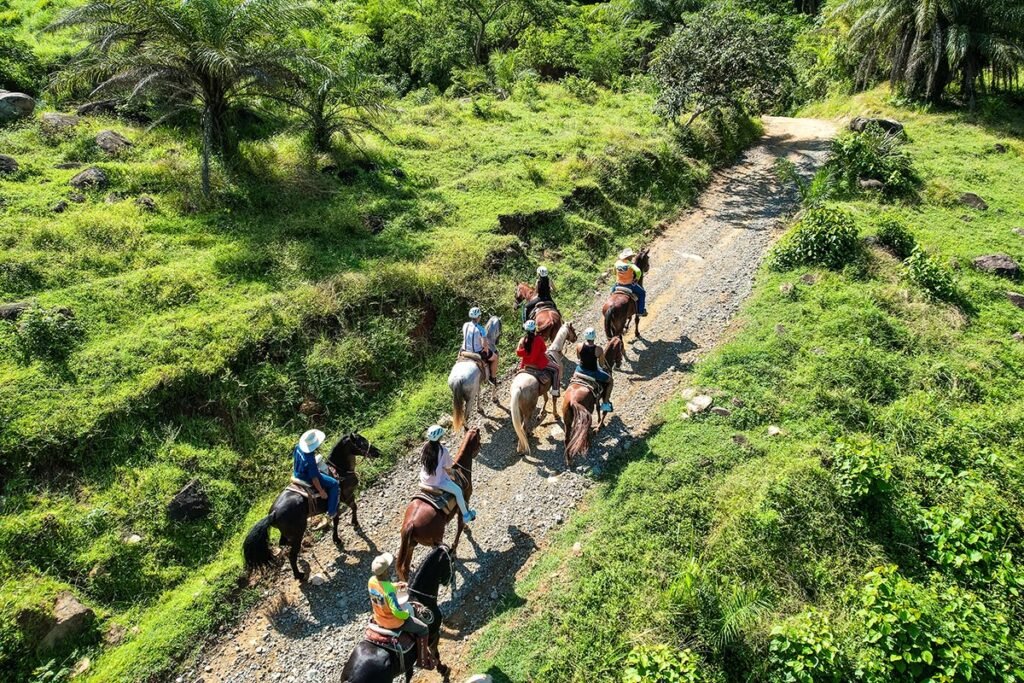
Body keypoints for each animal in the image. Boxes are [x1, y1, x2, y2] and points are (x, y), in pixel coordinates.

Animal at [242, 436, 380, 581]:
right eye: (361, 442)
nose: (377, 452)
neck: (339, 471)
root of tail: (272, 513)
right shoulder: (346, 497)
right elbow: (351, 509)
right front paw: (352, 526)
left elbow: (338, 519)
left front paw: (338, 537)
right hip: (298, 533)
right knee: (291, 555)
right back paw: (299, 575)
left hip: (287, 534)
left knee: (283, 544)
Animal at [337, 544, 454, 683]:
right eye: (451, 561)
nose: (450, 580)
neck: (420, 598)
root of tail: (350, 678)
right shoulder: (434, 636)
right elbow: (435, 653)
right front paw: (443, 669)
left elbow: (409, 674)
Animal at [395, 428, 483, 581]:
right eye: (479, 438)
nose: (481, 448)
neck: (460, 470)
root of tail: (410, 524)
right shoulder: (465, 500)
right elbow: (460, 525)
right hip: (435, 538)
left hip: (411, 544)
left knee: (404, 568)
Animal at [509, 321, 577, 458]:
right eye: (573, 330)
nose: (576, 338)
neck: (555, 353)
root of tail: (518, 388)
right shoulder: (556, 381)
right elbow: (554, 399)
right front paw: (556, 415)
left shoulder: (546, 385)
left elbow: (545, 398)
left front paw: (542, 413)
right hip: (529, 409)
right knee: (523, 426)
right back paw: (523, 445)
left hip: (519, 409)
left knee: (520, 426)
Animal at [561, 337, 622, 471]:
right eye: (621, 348)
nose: (620, 363)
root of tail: (572, 400)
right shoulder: (604, 394)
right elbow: (604, 410)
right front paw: (599, 426)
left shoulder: (597, 397)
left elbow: (599, 409)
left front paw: (599, 424)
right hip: (587, 411)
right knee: (584, 430)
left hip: (568, 418)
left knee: (567, 439)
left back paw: (569, 461)